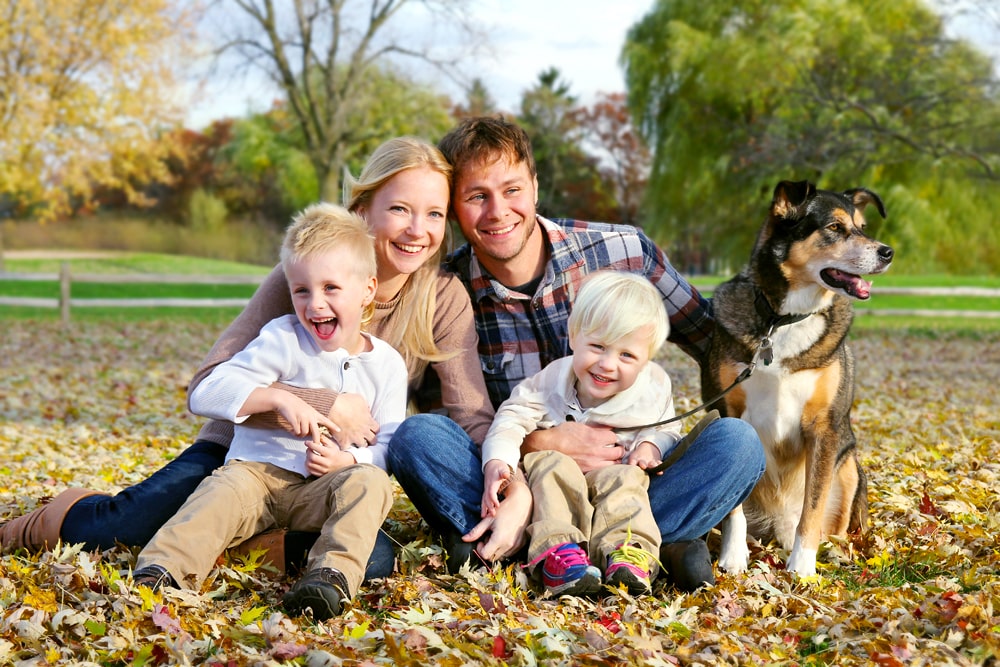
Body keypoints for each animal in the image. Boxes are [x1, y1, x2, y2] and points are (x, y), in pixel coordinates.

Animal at [704, 180, 900, 576]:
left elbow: (812, 508)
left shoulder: (823, 426)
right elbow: (733, 510)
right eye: (835, 228)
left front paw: (802, 568)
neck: (785, 320)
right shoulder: (729, 413)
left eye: (862, 227)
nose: (887, 252)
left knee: (833, 526)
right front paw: (733, 556)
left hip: (849, 463)